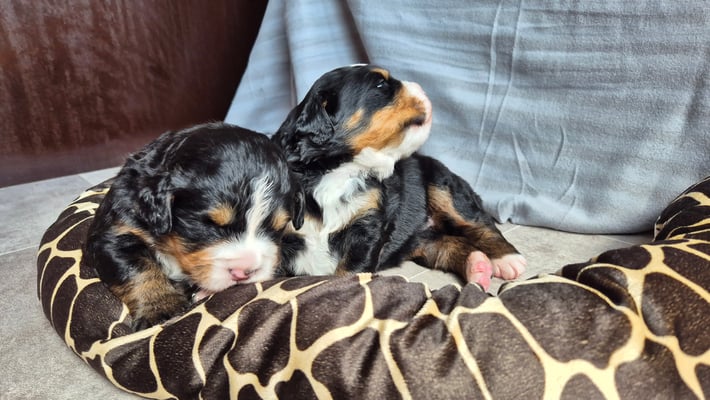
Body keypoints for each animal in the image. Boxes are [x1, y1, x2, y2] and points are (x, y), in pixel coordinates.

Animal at [85, 123, 304, 330]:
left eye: (278, 227)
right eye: (209, 224)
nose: (243, 272)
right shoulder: (117, 230)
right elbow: (138, 268)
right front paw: (162, 307)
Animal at [272, 65, 526, 287]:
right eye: (381, 84)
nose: (422, 87)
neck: (336, 169)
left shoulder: (368, 226)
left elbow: (351, 271)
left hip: (443, 186)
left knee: (479, 222)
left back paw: (508, 260)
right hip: (418, 238)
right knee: (446, 245)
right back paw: (478, 265)